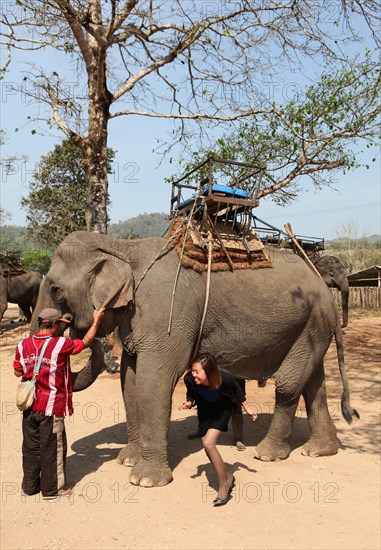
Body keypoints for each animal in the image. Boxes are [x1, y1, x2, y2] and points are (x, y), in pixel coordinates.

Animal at [31, 231, 358, 490]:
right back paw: (319, 451)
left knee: (289, 384)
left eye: (57, 291)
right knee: (314, 384)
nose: (74, 326)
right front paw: (127, 461)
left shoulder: (167, 315)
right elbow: (130, 380)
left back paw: (266, 454)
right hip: (311, 326)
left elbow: (154, 380)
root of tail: (325, 289)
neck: (122, 246)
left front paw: (144, 480)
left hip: (311, 322)